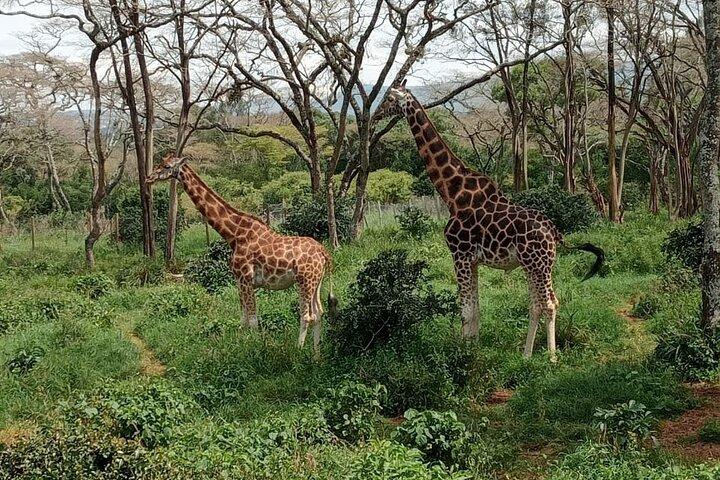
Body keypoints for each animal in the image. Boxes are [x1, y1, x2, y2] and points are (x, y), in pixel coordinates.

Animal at [147, 153, 333, 353]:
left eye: (166, 166)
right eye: (160, 162)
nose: (148, 178)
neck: (234, 234)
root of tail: (324, 252)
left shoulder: (246, 278)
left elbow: (252, 319)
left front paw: (255, 350)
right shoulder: (238, 279)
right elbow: (243, 318)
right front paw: (243, 345)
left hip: (305, 280)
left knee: (306, 315)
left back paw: (299, 351)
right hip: (316, 281)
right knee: (319, 313)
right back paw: (316, 353)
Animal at [373, 82, 604, 360]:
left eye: (388, 98)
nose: (375, 115)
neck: (452, 194)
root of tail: (554, 231)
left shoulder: (459, 254)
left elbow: (465, 310)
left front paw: (464, 355)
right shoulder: (471, 260)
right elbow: (475, 309)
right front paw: (472, 349)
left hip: (539, 264)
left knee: (549, 302)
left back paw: (551, 357)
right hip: (532, 265)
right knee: (536, 304)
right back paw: (526, 355)